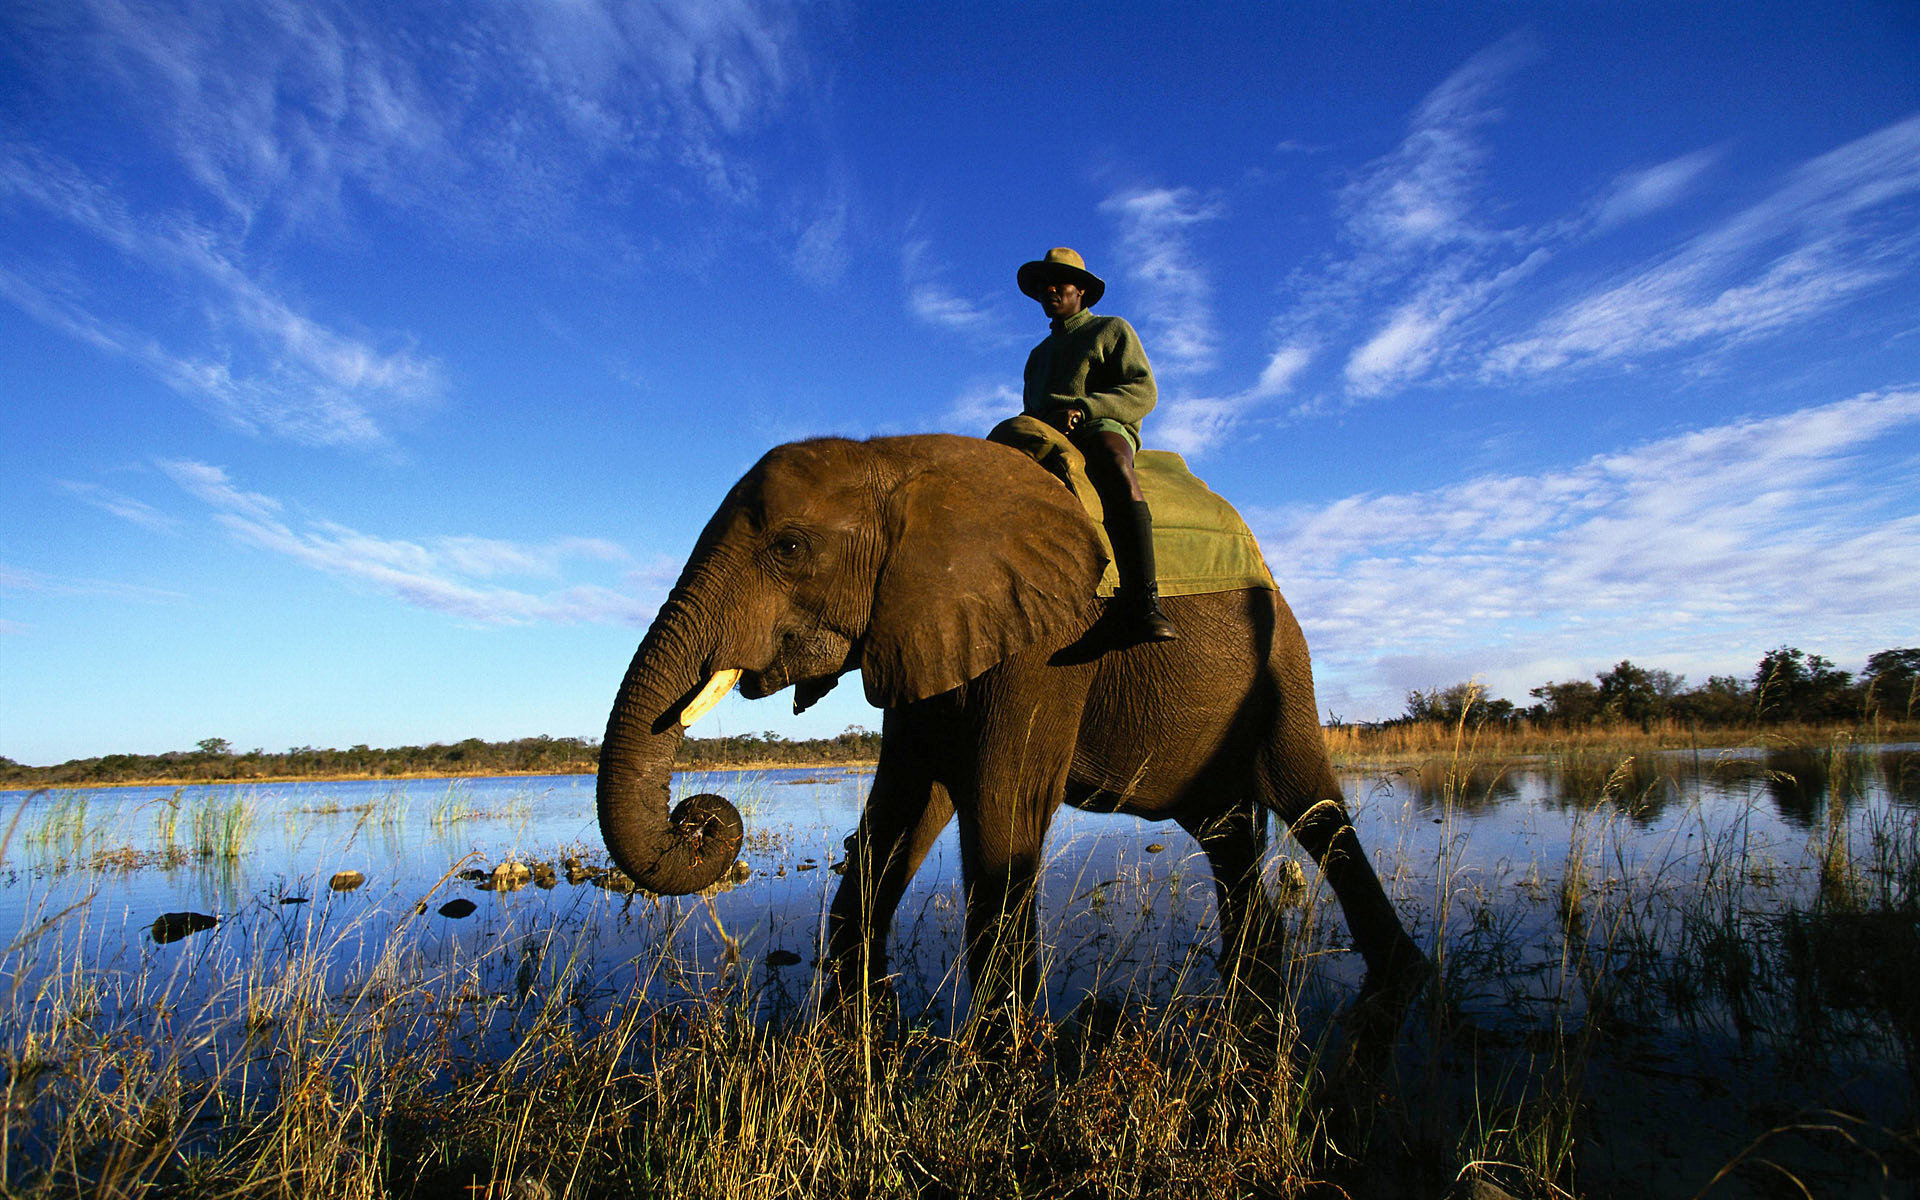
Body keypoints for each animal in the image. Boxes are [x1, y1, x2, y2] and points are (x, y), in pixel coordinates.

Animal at [595, 430, 1428, 1029]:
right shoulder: (922, 628)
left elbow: (1002, 806)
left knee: (1313, 809)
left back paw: (1398, 978)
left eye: (790, 548)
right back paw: (1254, 975)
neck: (898, 460)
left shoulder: (1050, 644)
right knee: (1226, 829)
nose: (697, 817)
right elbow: (899, 813)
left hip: (1284, 668)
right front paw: (857, 1009)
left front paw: (1001, 1049)